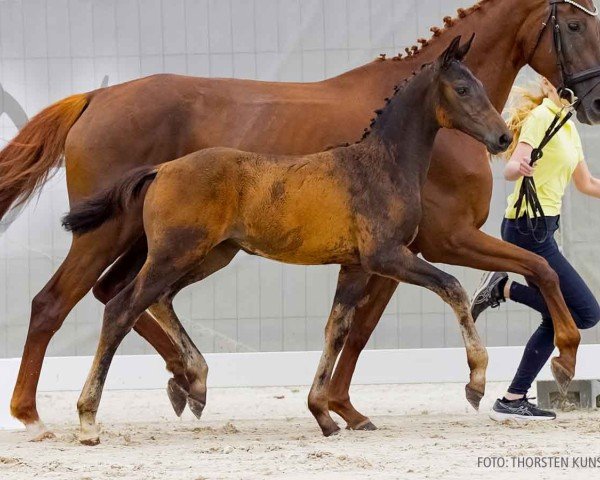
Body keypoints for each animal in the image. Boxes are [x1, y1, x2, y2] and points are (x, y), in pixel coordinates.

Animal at [62, 35, 510, 444]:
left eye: (481, 85)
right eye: (463, 88)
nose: (503, 138)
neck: (382, 164)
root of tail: (162, 169)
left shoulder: (354, 266)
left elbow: (336, 329)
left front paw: (323, 414)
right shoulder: (387, 257)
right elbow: (452, 287)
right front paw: (476, 383)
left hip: (211, 256)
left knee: (159, 300)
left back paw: (198, 385)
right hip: (175, 254)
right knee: (121, 308)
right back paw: (88, 420)